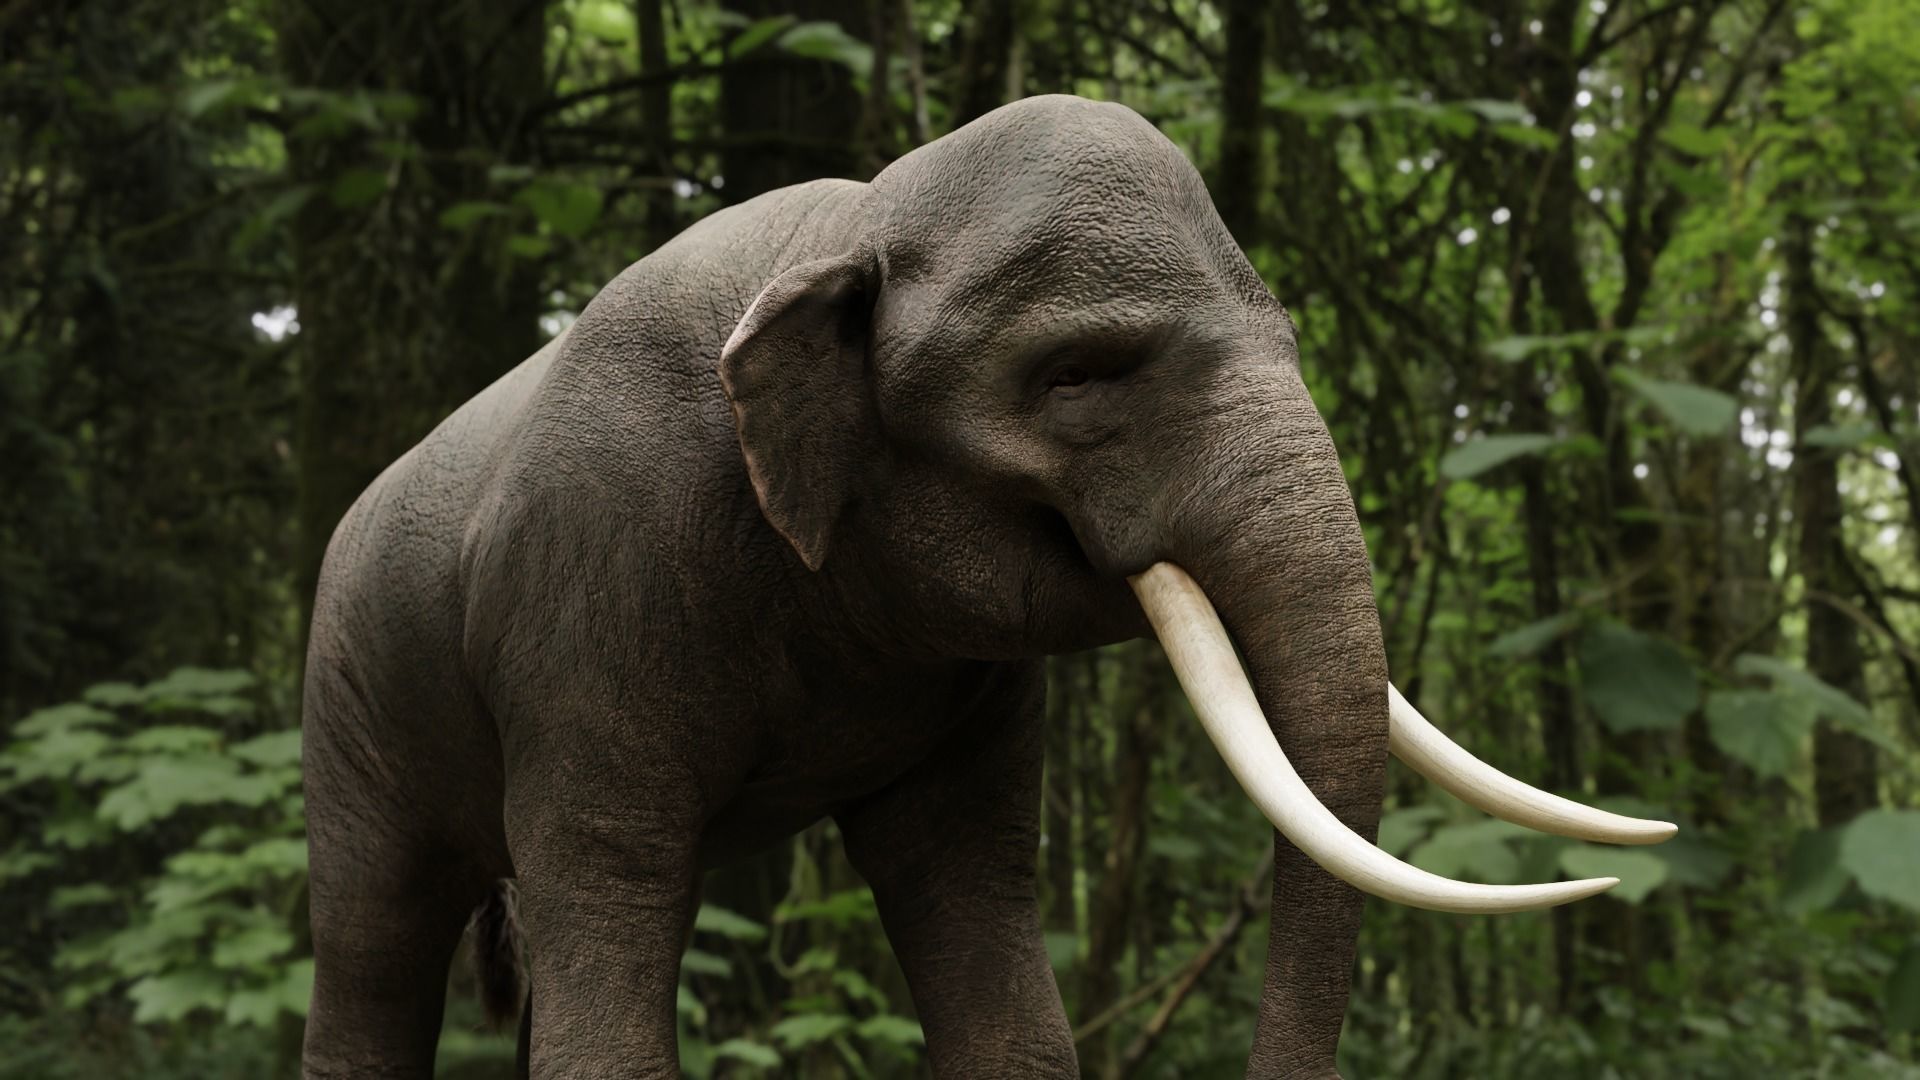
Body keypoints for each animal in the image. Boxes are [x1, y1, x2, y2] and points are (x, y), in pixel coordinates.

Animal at [299, 93, 1675, 1079]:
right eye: (1078, 376)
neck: (850, 222)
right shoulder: (591, 600)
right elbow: (611, 899)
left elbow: (978, 915)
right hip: (349, 716)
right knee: (371, 954)